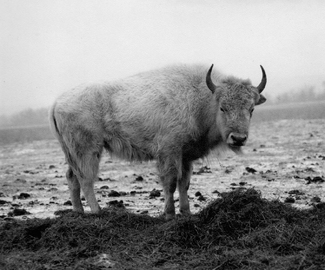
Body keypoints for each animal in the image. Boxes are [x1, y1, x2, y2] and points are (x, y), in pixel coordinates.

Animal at [48, 64, 266, 220]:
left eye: (251, 109)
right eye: (223, 107)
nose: (238, 138)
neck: (200, 100)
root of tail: (57, 101)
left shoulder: (185, 156)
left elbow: (184, 183)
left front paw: (186, 212)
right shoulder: (169, 153)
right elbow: (170, 183)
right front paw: (169, 214)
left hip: (72, 153)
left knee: (72, 177)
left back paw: (78, 212)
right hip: (88, 151)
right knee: (86, 179)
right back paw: (97, 211)